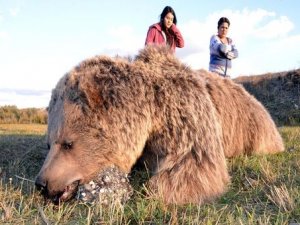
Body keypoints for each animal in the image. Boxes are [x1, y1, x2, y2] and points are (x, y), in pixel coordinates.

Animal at [35, 45, 284, 204]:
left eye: (68, 143)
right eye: (48, 143)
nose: (42, 184)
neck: (151, 113)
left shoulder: (184, 116)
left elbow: (193, 165)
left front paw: (156, 190)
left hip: (256, 129)